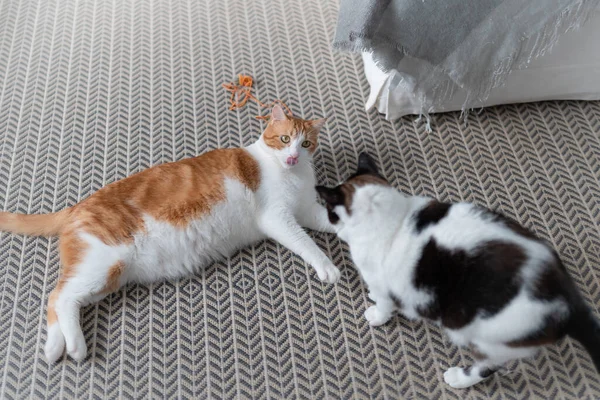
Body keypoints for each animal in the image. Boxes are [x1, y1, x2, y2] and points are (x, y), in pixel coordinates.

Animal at [0, 105, 340, 362]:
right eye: (284, 139)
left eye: (305, 144)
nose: (293, 157)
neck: (292, 174)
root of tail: (77, 206)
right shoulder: (278, 218)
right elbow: (306, 242)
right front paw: (328, 267)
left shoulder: (307, 212)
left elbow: (332, 222)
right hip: (103, 263)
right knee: (61, 296)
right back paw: (74, 346)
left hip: (106, 278)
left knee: (59, 297)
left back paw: (54, 347)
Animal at [316, 152, 596, 388]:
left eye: (329, 212)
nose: (330, 223)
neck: (393, 216)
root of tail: (566, 302)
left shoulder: (381, 281)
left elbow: (384, 304)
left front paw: (375, 313)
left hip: (486, 338)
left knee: (487, 367)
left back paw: (458, 379)